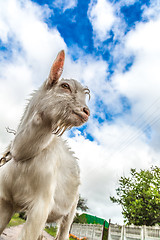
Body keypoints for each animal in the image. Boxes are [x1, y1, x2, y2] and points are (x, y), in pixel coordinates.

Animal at [0, 50, 90, 240]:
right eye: (65, 86)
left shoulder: (41, 205)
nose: (86, 112)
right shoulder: (5, 201)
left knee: (63, 232)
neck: (23, 155)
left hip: (70, 212)